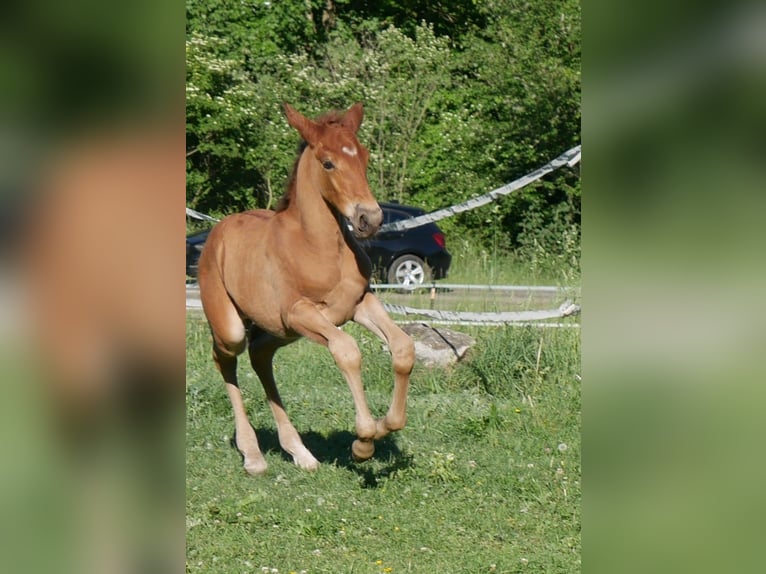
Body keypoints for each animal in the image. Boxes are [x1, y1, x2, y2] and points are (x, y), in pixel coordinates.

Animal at [197, 102, 415, 475]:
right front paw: (364, 441)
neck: (320, 247)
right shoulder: (299, 311)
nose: (370, 219)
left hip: (279, 331)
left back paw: (299, 451)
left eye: (365, 156)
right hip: (235, 328)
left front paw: (387, 424)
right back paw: (253, 455)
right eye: (328, 163)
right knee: (225, 359)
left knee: (260, 356)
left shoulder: (359, 302)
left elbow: (403, 347)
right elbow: (347, 350)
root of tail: (218, 230)